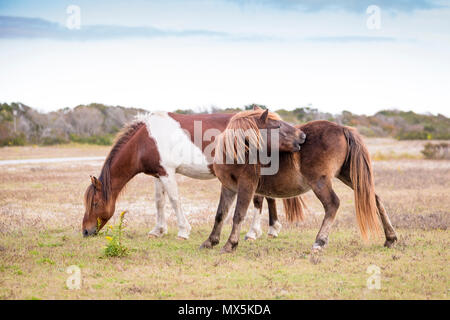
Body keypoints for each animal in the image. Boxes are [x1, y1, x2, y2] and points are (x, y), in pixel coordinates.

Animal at [81, 110, 306, 238]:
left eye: (95, 203)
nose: (85, 231)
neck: (145, 140)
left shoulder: (167, 173)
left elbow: (174, 200)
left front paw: (183, 230)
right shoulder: (158, 174)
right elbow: (159, 201)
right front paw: (158, 230)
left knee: (259, 200)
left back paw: (253, 233)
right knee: (269, 199)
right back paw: (272, 229)